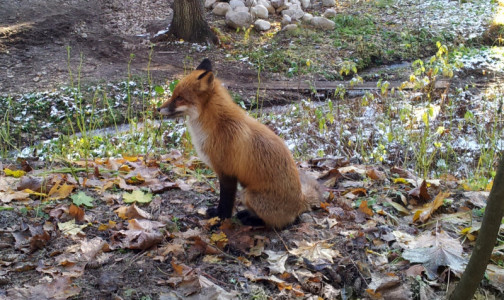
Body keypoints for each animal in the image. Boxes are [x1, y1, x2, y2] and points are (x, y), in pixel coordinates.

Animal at [158, 58, 322, 227]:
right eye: (174, 95)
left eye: (179, 97)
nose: (158, 109)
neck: (217, 124)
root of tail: (300, 201)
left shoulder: (227, 172)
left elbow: (225, 202)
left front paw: (220, 219)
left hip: (248, 195)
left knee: (275, 222)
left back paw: (252, 220)